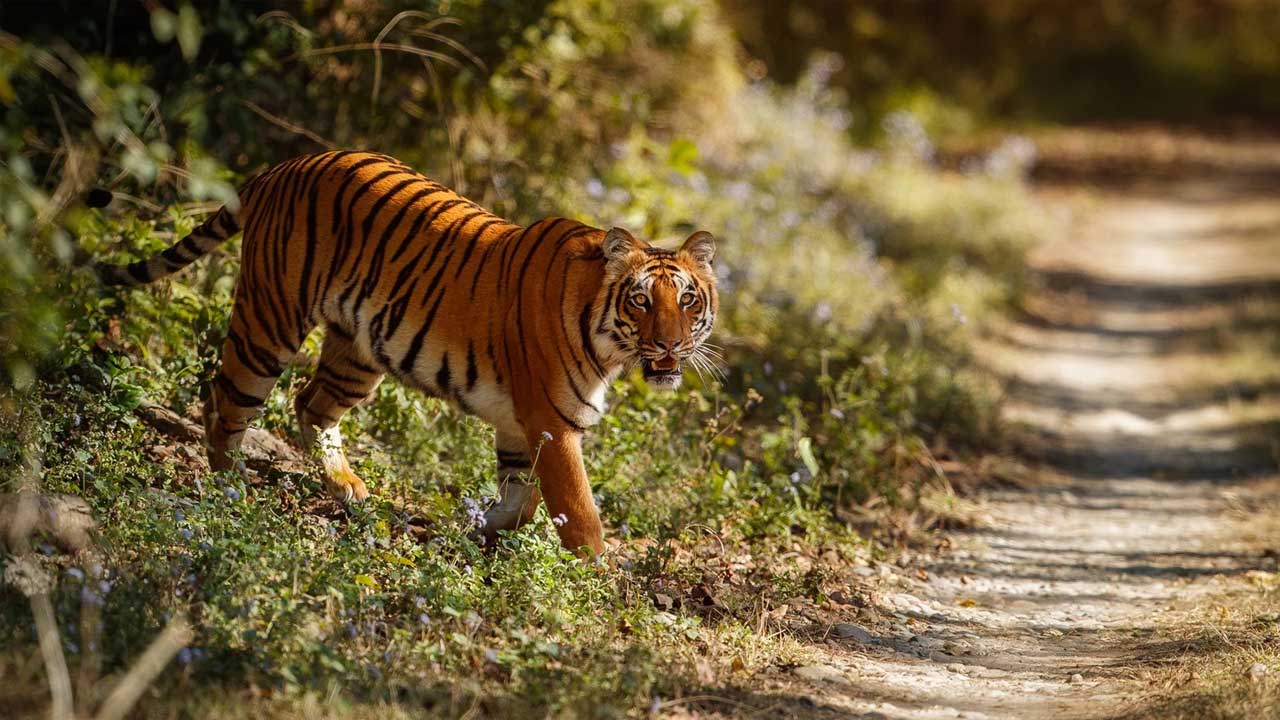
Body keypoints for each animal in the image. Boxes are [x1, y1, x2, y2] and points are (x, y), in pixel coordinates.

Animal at [91, 151, 719, 556]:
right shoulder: (552, 422)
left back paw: (346, 487)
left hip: (359, 351)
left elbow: (522, 500)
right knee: (226, 401)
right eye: (641, 300)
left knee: (311, 404)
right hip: (270, 320)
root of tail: (283, 166)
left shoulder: (520, 426)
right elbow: (580, 513)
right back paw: (231, 490)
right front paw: (597, 582)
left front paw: (477, 533)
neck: (608, 342)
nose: (671, 344)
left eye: (688, 300)